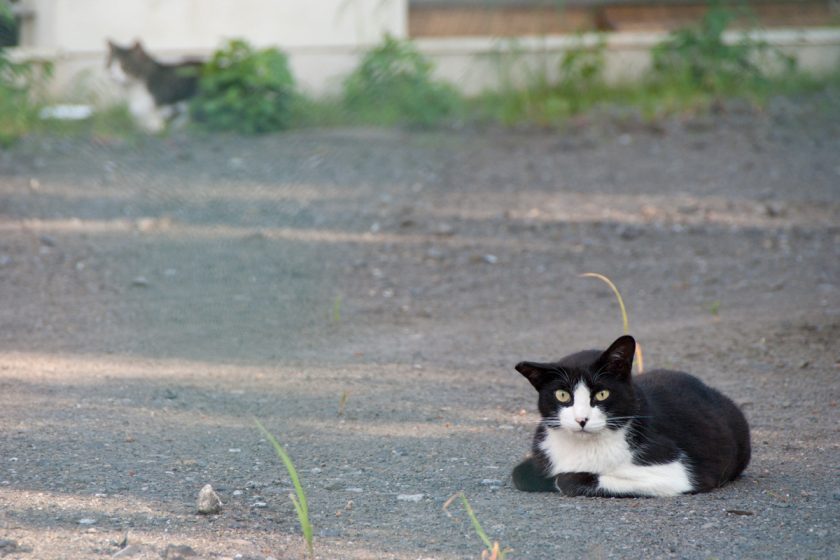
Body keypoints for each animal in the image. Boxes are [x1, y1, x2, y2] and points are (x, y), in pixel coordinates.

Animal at [516, 334, 752, 496]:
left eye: (602, 394)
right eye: (563, 395)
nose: (581, 419)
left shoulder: (680, 472)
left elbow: (568, 481)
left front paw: (563, 479)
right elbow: (520, 474)